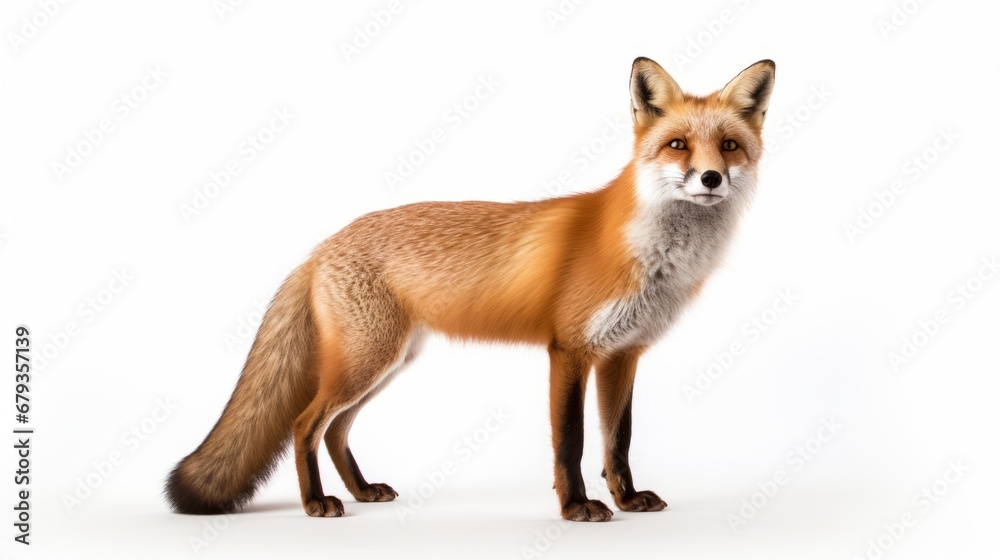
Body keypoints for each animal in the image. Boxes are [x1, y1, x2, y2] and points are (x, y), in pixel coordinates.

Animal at [166, 57, 775, 521]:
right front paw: (576, 510)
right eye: (678, 145)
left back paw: (361, 491)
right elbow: (571, 442)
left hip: (387, 363)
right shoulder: (569, 351)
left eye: (728, 146)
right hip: (366, 361)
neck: (650, 256)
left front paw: (626, 500)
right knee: (304, 424)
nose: (711, 178)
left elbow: (617, 443)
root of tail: (319, 248)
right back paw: (317, 502)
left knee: (334, 431)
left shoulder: (623, 354)